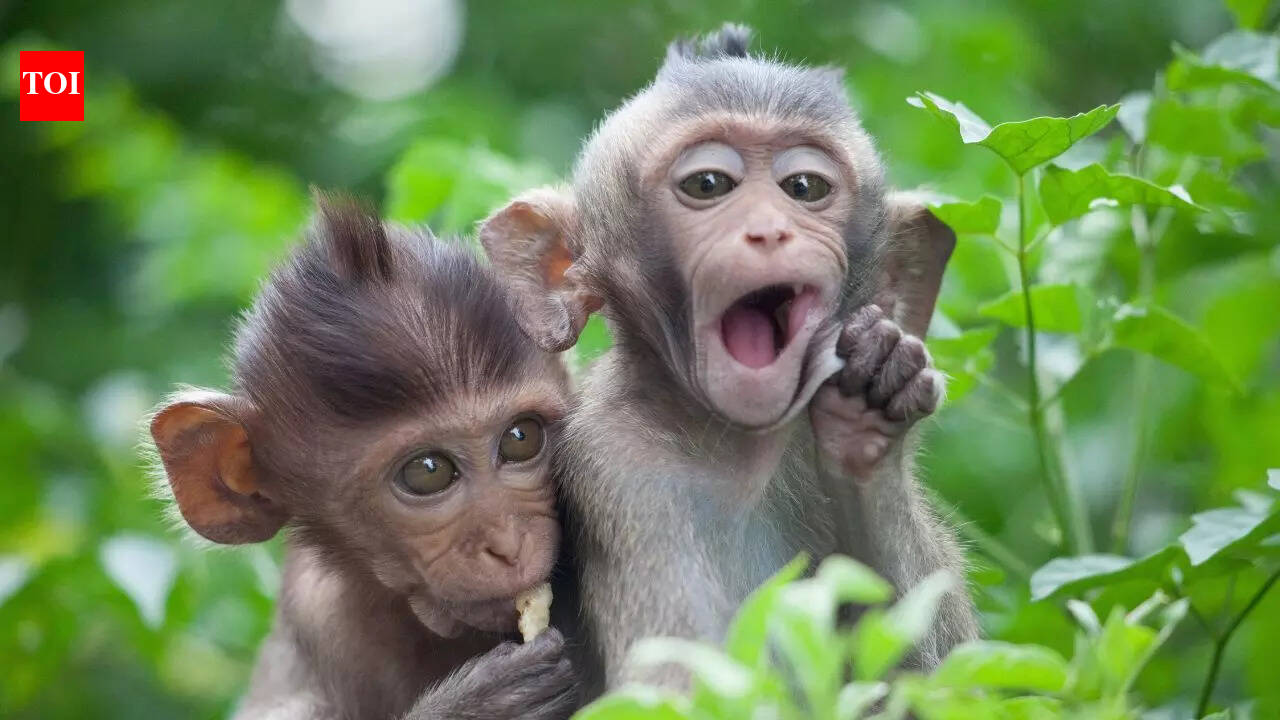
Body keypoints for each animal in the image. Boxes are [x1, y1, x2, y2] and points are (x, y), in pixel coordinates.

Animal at [478, 25, 978, 694]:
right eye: (709, 185)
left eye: (804, 188)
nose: (769, 230)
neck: (744, 451)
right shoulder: (622, 470)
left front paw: (871, 415)